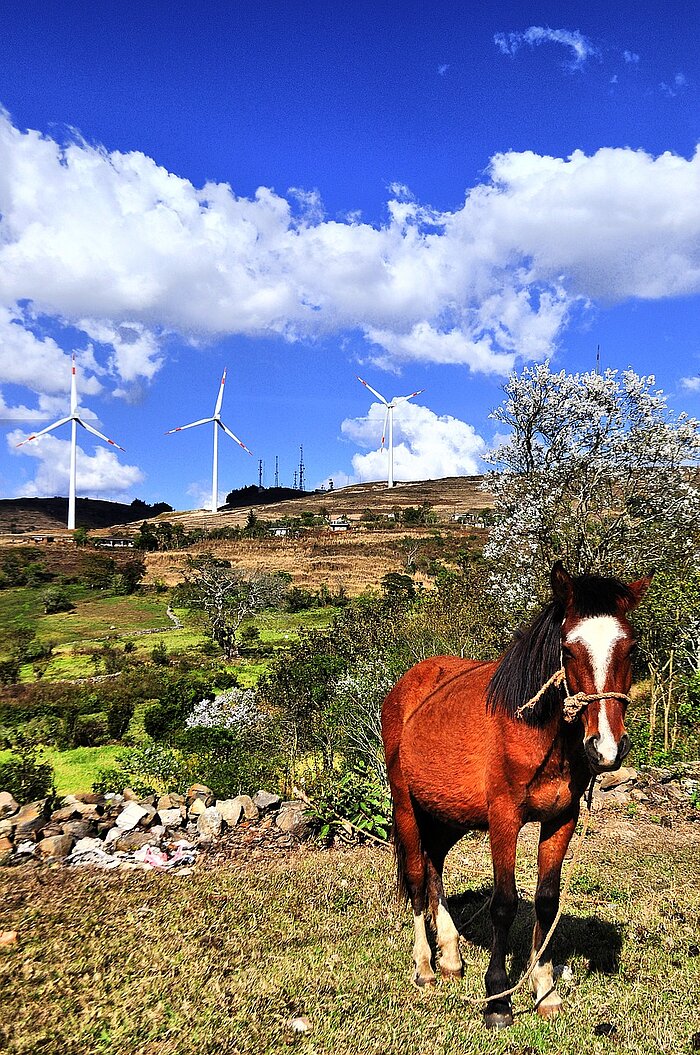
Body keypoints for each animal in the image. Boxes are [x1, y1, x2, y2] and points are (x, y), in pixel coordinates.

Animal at [383, 565, 649, 1025]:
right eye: (568, 649)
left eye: (629, 648)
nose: (606, 749)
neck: (532, 727)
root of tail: (407, 685)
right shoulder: (503, 820)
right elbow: (504, 904)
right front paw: (498, 998)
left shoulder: (561, 820)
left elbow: (545, 902)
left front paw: (544, 990)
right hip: (407, 807)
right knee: (417, 879)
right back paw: (425, 966)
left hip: (449, 815)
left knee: (435, 867)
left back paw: (451, 956)